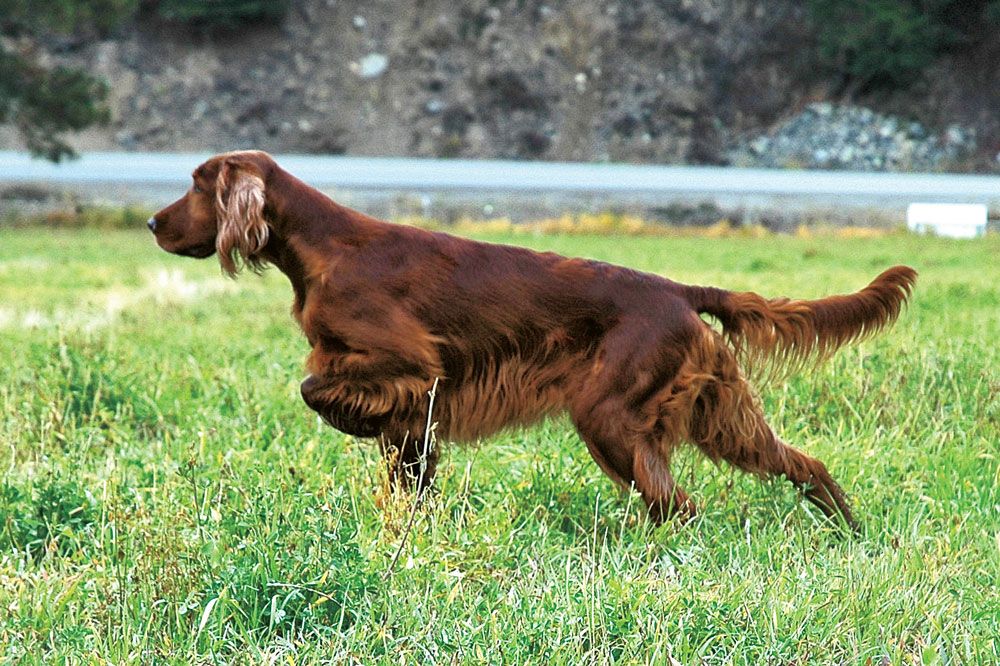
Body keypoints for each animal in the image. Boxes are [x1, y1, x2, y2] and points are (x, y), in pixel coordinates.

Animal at [145, 150, 916, 528]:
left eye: (197, 184)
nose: (152, 223)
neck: (324, 248)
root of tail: (677, 290)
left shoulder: (411, 366)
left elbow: (315, 387)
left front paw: (353, 425)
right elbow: (403, 461)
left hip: (610, 415)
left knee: (680, 505)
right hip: (714, 411)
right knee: (797, 462)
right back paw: (847, 527)